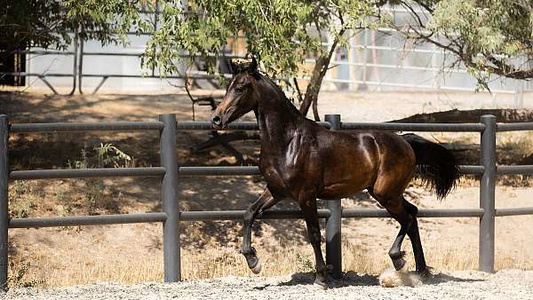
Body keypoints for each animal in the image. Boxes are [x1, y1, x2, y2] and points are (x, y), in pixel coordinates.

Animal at [210, 57, 460, 288]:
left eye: (241, 87)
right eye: (229, 86)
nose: (216, 119)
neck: (288, 141)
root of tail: (406, 142)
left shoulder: (305, 196)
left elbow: (313, 234)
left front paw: (321, 277)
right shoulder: (276, 190)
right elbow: (249, 213)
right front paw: (253, 261)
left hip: (386, 194)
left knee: (408, 218)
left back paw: (398, 259)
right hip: (387, 193)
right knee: (413, 214)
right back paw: (421, 271)